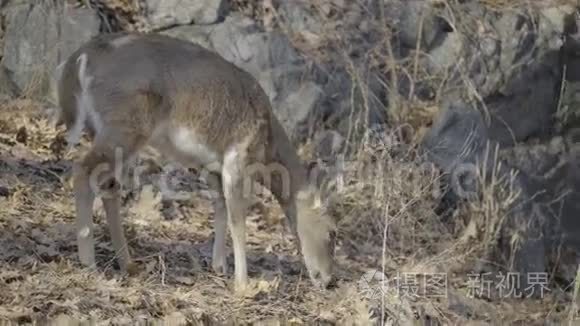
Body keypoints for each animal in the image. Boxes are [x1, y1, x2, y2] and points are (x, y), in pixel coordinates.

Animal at [52, 31, 338, 292]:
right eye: (332, 232)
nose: (328, 279)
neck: (268, 148)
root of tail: (81, 58)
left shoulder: (211, 166)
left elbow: (220, 207)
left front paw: (219, 266)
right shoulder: (237, 155)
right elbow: (238, 219)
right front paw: (244, 283)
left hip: (109, 130)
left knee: (109, 185)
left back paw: (127, 263)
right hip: (123, 123)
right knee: (83, 171)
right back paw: (89, 263)